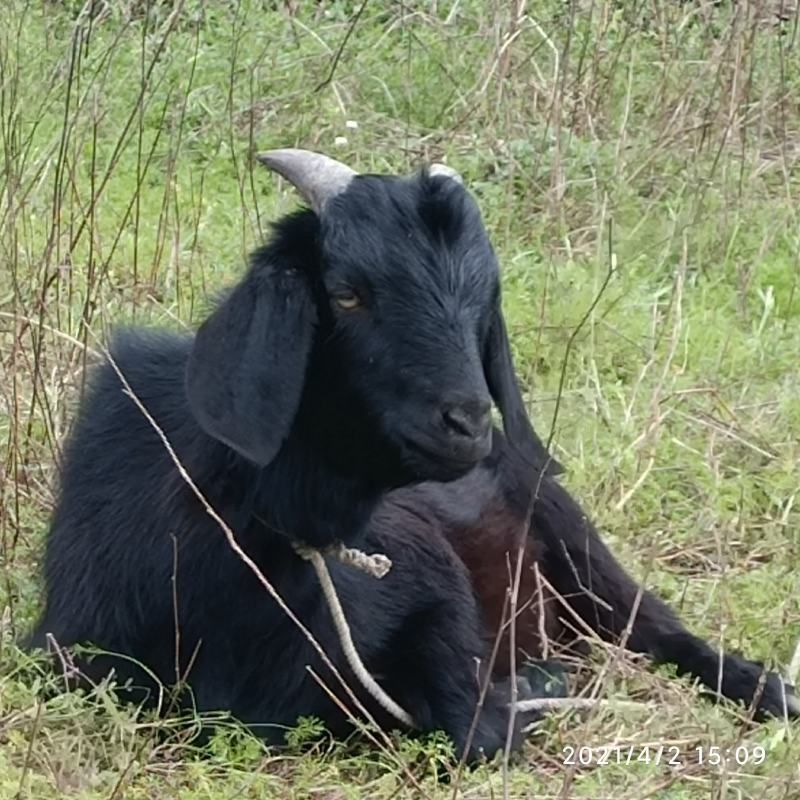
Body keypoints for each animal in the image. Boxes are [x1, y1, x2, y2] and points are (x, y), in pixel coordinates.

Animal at [28, 152, 796, 764]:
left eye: (482, 302)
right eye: (347, 293)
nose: (467, 424)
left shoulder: (429, 574)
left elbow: (475, 727)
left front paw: (532, 686)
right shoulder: (67, 650)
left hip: (573, 536)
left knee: (659, 630)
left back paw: (770, 690)